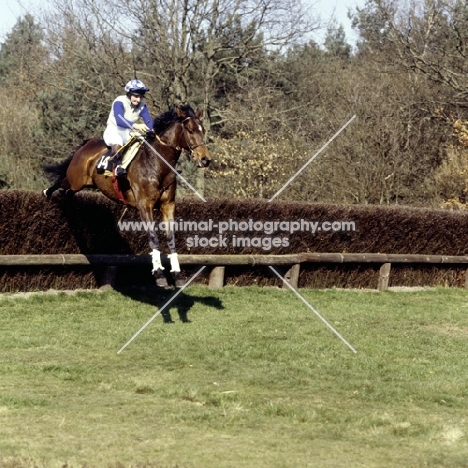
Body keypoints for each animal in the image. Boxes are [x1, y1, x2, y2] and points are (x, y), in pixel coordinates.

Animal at [43, 105, 211, 288]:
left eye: (203, 130)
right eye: (190, 130)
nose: (205, 159)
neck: (158, 164)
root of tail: (88, 143)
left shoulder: (168, 204)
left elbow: (171, 238)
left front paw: (178, 275)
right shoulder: (145, 205)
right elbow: (153, 238)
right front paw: (159, 275)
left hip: (86, 184)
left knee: (67, 192)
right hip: (76, 180)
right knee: (61, 181)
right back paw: (47, 193)